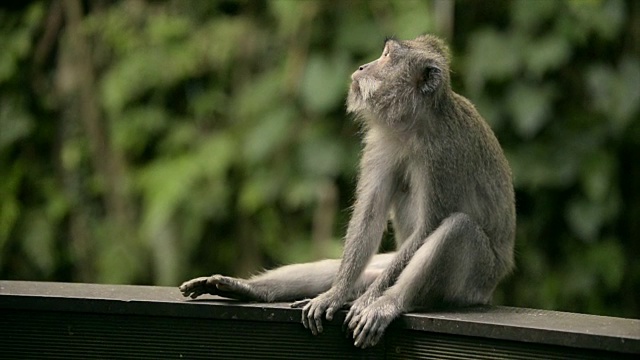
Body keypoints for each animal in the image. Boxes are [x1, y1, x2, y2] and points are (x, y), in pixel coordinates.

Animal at [179, 33, 516, 348]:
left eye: (386, 56)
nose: (363, 66)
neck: (412, 124)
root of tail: (490, 289)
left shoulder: (442, 154)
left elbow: (428, 227)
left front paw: (369, 301)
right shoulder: (380, 143)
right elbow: (369, 215)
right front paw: (336, 294)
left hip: (475, 282)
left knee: (458, 229)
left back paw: (385, 303)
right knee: (336, 267)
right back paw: (250, 289)